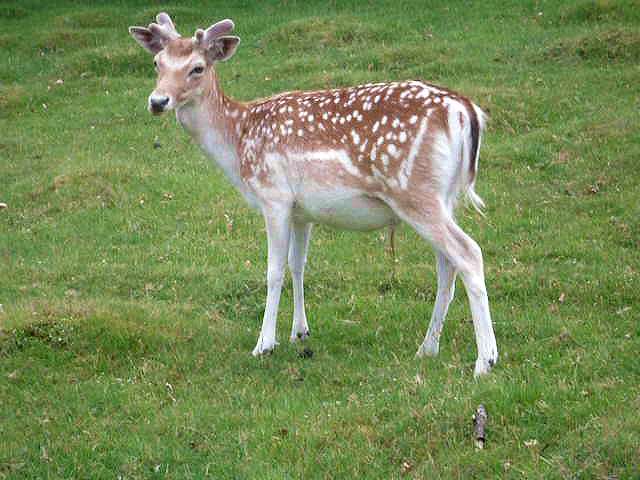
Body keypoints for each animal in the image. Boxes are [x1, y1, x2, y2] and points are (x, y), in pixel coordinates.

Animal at [130, 13, 500, 376]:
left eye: (197, 68)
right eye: (157, 63)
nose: (157, 101)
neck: (238, 141)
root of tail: (466, 111)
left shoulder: (274, 195)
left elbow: (274, 271)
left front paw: (264, 344)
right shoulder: (301, 212)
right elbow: (298, 265)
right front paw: (299, 332)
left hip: (414, 191)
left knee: (468, 253)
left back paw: (485, 360)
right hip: (443, 197)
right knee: (446, 263)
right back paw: (427, 348)